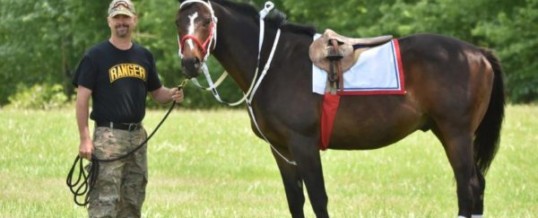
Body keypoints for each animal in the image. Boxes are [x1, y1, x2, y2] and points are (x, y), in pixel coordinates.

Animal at [175, 0, 502, 217]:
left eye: (206, 21)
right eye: (179, 23)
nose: (189, 63)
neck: (273, 62)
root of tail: (477, 53)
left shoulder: (304, 145)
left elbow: (318, 198)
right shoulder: (280, 149)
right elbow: (295, 200)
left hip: (456, 134)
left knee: (468, 187)